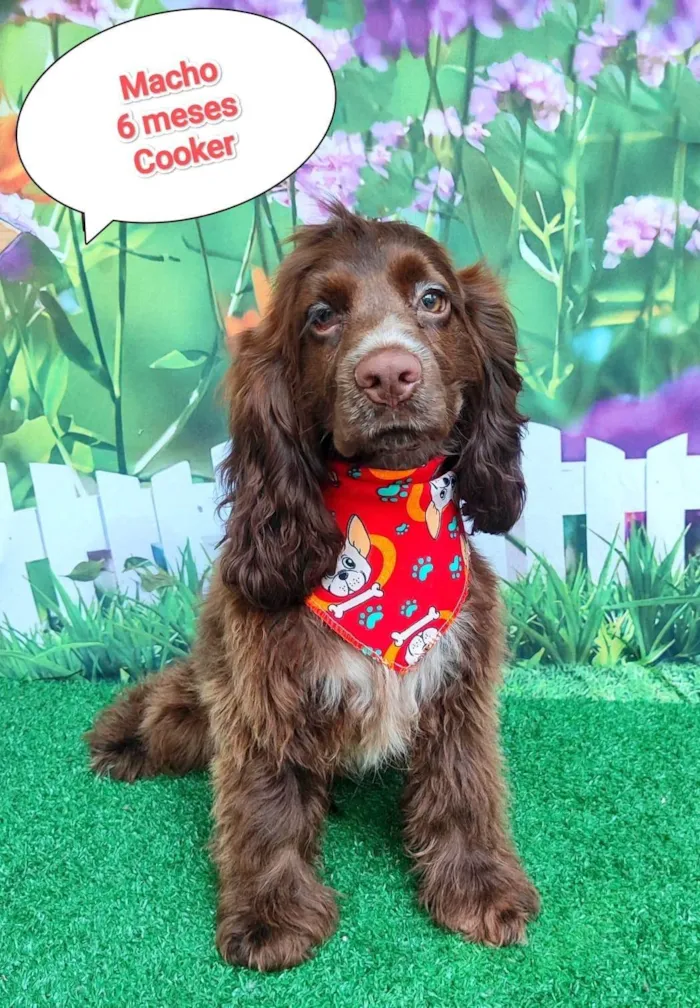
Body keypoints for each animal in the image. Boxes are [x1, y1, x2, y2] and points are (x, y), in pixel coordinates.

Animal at [85, 202, 540, 967]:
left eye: (433, 300)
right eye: (322, 316)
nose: (389, 373)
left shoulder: (458, 689)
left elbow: (464, 788)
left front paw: (478, 886)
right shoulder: (262, 696)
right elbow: (265, 805)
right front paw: (272, 915)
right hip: (201, 693)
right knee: (167, 700)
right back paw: (122, 741)